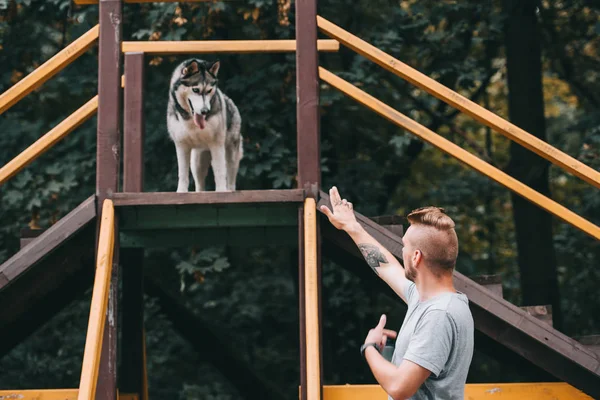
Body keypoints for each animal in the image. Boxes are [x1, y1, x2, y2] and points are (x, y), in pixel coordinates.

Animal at [165, 57, 243, 192]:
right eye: (195, 90)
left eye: (209, 90)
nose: (205, 111)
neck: (192, 122)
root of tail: (230, 101)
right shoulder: (181, 145)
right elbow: (183, 174)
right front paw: (181, 191)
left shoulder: (217, 144)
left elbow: (219, 171)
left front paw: (221, 191)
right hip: (197, 162)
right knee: (200, 184)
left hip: (231, 154)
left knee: (230, 176)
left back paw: (229, 190)